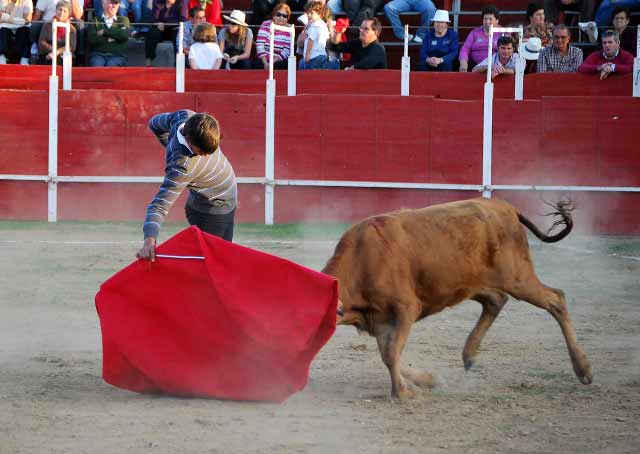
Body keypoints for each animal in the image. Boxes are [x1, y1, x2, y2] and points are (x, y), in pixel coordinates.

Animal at [324, 197, 596, 400]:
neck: (363, 259)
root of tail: (505, 207)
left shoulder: (405, 308)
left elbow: (391, 353)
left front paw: (403, 392)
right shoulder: (380, 320)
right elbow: (389, 353)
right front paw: (426, 380)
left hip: (518, 278)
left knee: (555, 298)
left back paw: (583, 369)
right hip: (473, 283)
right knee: (496, 300)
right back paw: (469, 355)